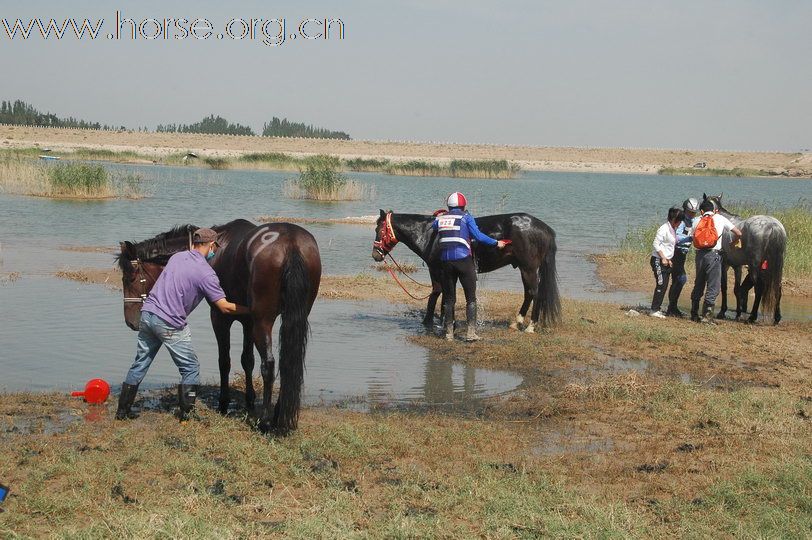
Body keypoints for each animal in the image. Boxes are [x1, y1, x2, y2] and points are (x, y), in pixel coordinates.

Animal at [117, 219, 320, 434]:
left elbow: (225, 361)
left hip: (263, 321)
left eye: (129, 278)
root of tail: (291, 243)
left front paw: (223, 403)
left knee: (269, 365)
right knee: (287, 362)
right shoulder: (248, 321)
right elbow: (247, 360)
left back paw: (265, 421)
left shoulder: (220, 317)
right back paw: (279, 414)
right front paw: (249, 400)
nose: (130, 322)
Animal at [372, 210, 560, 330]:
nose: (375, 254)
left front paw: (431, 321)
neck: (429, 234)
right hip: (524, 269)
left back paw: (531, 326)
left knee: (534, 293)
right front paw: (444, 321)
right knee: (529, 293)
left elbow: (437, 294)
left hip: (528, 268)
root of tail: (545, 228)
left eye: (379, 229)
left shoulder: (438, 270)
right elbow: (445, 295)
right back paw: (517, 323)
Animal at [704, 193, 788, 322]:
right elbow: (737, 289)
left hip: (755, 266)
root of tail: (772, 226)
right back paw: (777, 317)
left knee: (759, 289)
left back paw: (752, 317)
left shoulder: (724, 264)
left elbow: (724, 287)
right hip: (775, 267)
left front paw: (722, 312)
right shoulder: (737, 266)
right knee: (778, 289)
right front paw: (738, 313)